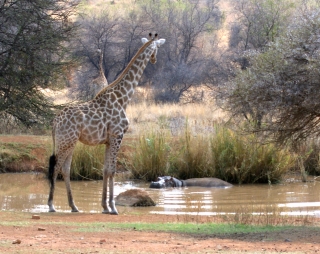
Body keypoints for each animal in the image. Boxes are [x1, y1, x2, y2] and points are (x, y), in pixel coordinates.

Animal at [48, 32, 166, 214]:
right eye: (158, 48)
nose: (154, 60)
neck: (123, 98)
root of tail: (54, 122)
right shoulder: (118, 135)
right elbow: (112, 170)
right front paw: (113, 208)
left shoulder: (108, 140)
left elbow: (105, 170)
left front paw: (105, 206)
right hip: (65, 141)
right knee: (56, 167)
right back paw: (51, 206)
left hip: (69, 142)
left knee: (66, 169)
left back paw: (74, 206)